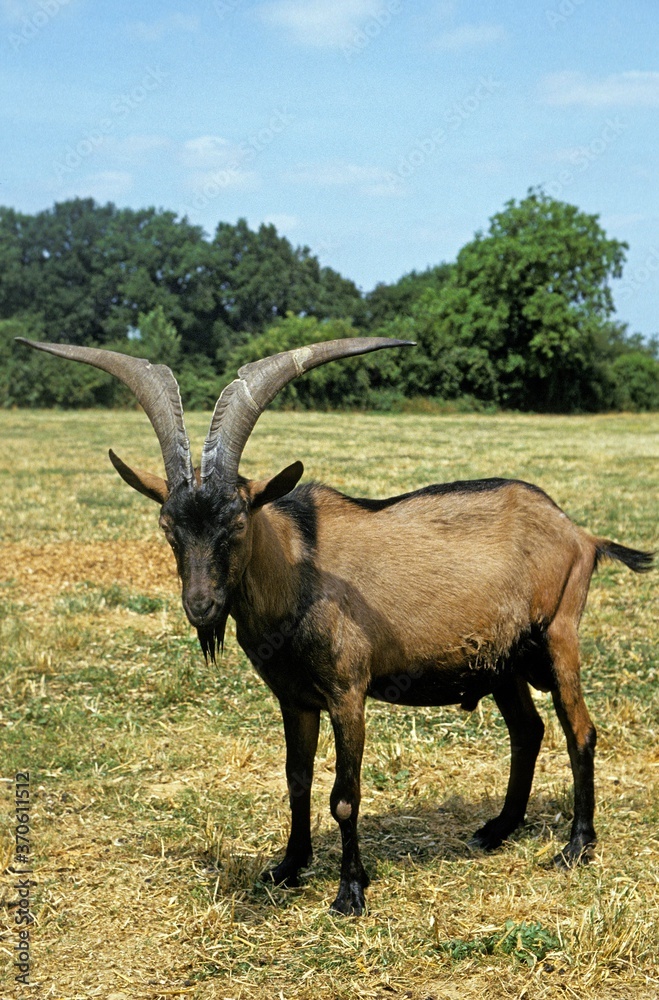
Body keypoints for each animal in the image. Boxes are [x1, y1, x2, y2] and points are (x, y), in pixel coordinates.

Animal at [18, 335, 654, 916]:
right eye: (168, 527)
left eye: (238, 523)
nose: (201, 605)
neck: (298, 572)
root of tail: (580, 533)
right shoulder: (294, 697)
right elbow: (296, 778)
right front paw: (288, 867)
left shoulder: (347, 691)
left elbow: (344, 795)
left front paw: (350, 891)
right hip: (502, 661)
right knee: (528, 731)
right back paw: (496, 829)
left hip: (558, 635)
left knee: (579, 731)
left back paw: (576, 847)